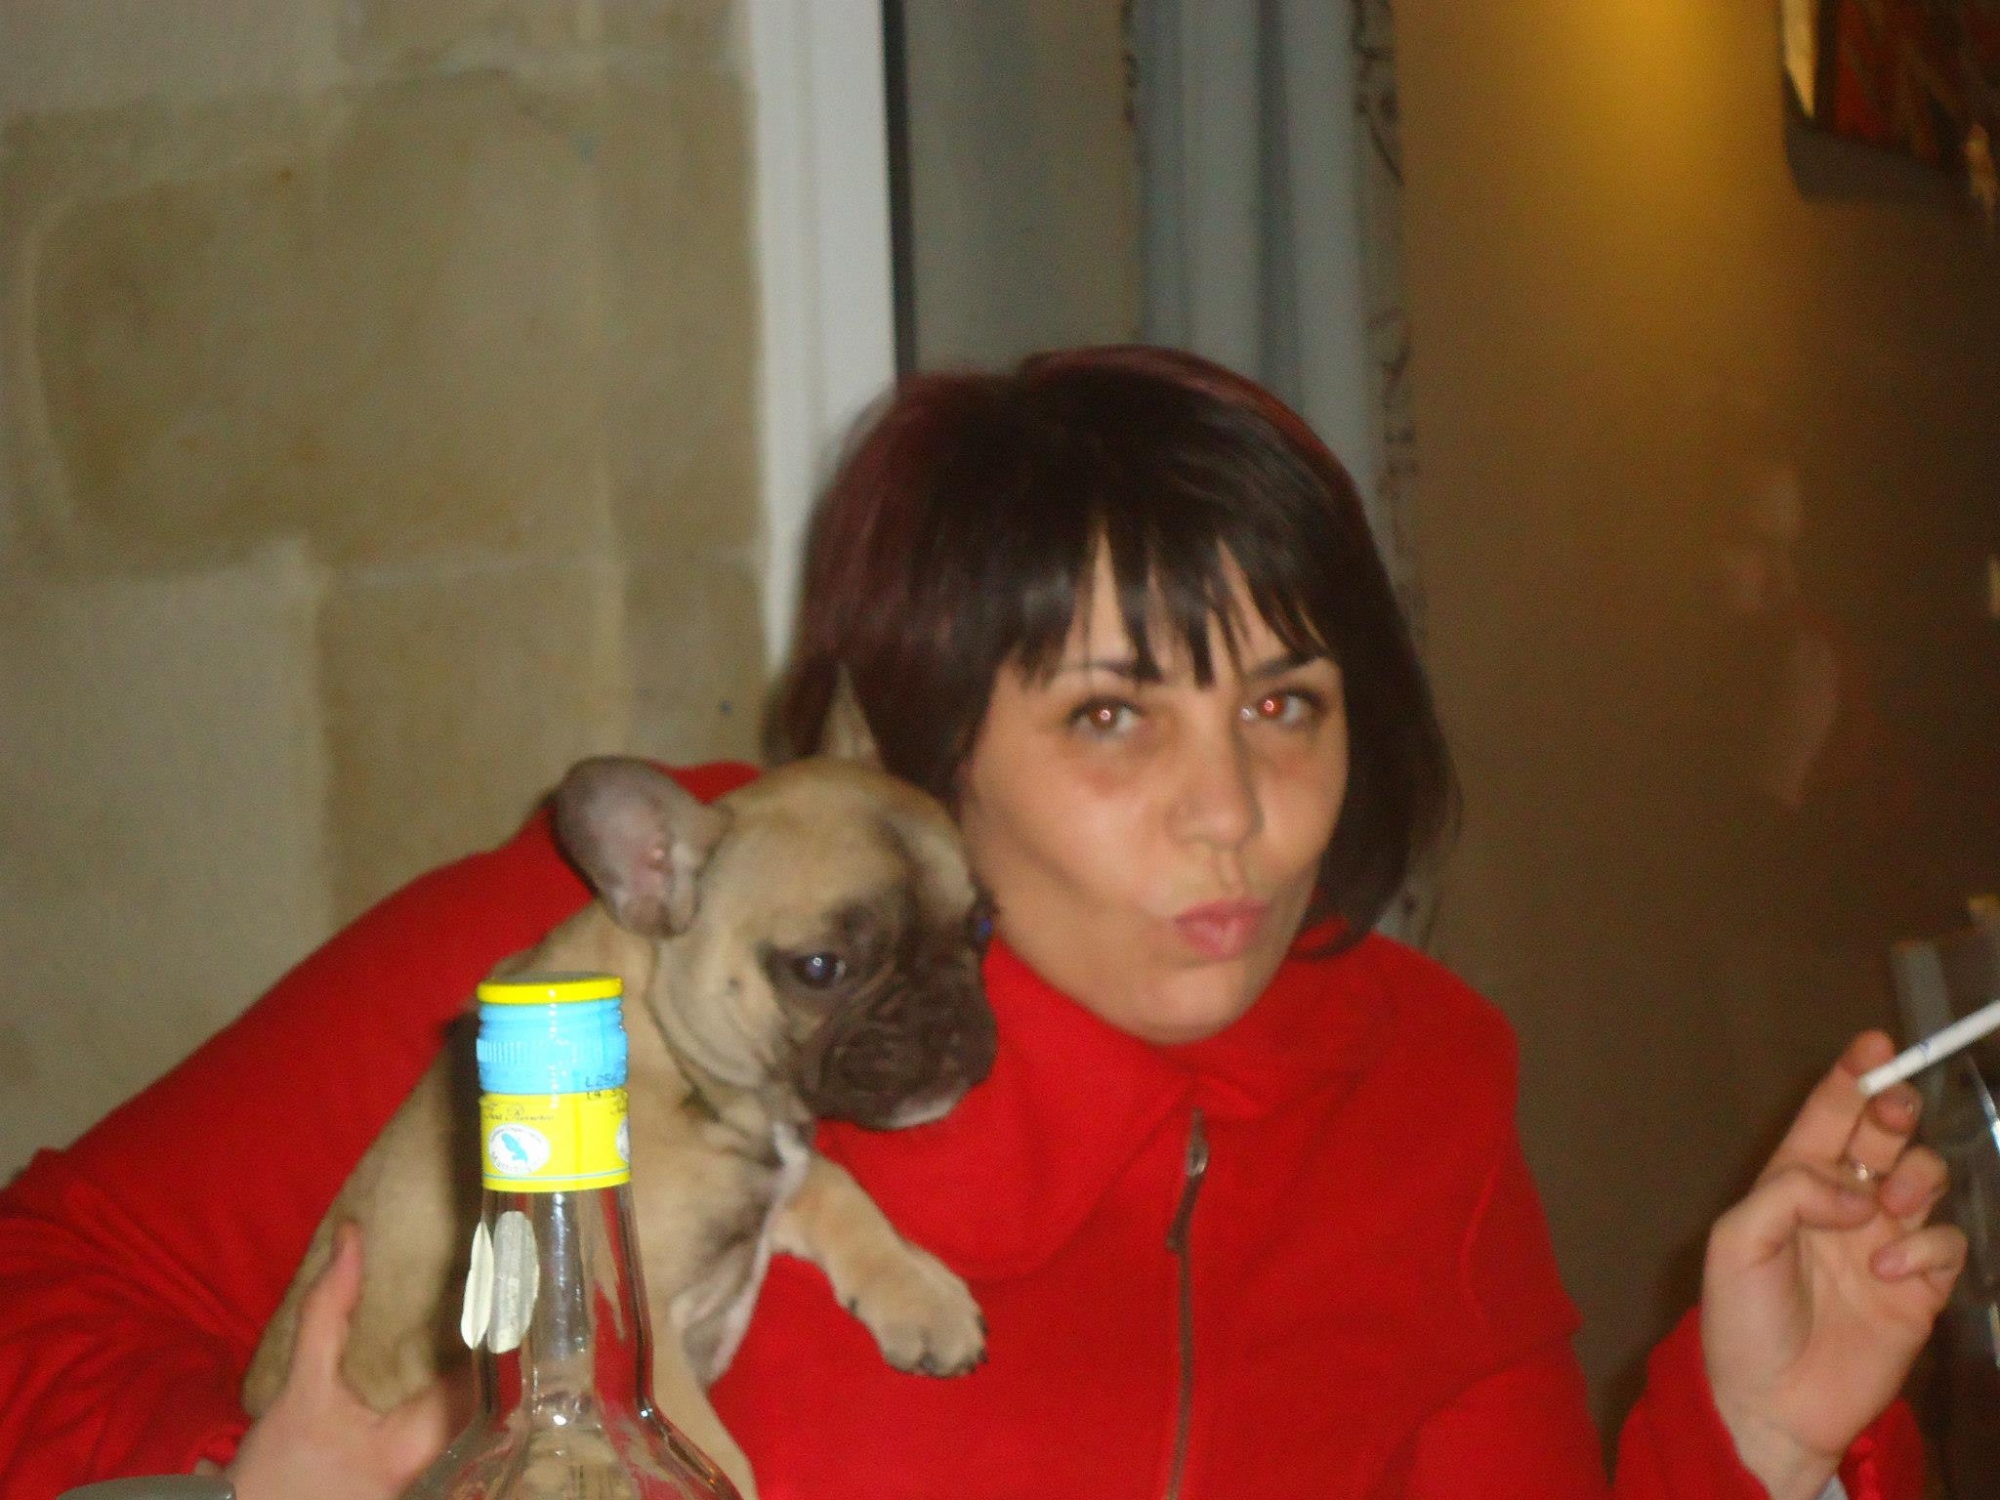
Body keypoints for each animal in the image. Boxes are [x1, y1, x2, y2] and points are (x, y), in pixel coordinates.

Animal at [244, 737, 997, 1497]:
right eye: (820, 968)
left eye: (983, 925)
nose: (945, 1013)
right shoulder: (647, 1330)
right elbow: (714, 1452)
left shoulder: (776, 1178)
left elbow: (838, 1188)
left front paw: (920, 1293)